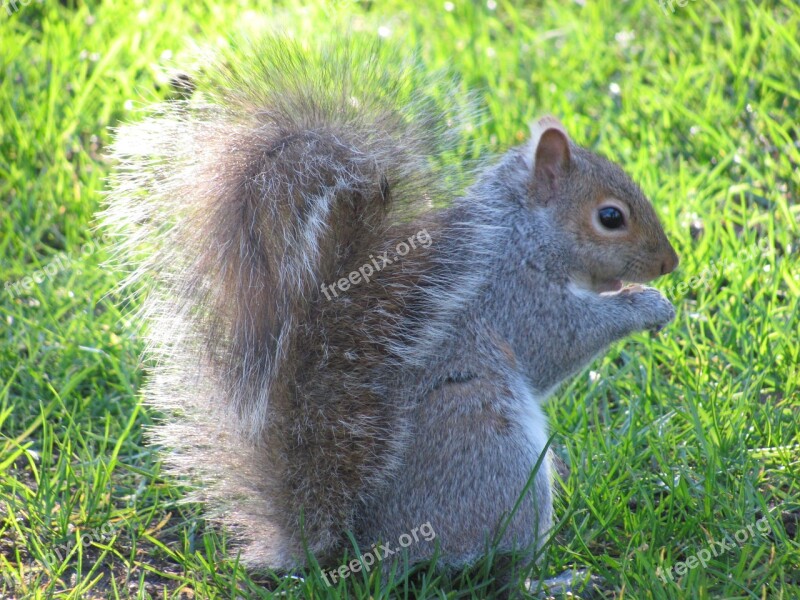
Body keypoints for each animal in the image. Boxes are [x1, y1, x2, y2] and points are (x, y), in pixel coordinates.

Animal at [103, 38, 680, 576]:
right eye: (610, 217)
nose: (670, 263)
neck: (521, 229)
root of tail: (356, 552)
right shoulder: (511, 296)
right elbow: (557, 343)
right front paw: (647, 306)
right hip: (490, 451)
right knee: (496, 567)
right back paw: (551, 579)